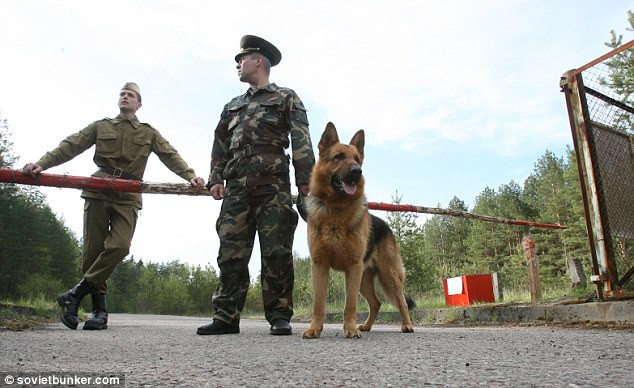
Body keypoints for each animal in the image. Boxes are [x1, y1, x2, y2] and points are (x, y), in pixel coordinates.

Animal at [302, 123, 414, 338]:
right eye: (338, 157)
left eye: (356, 159)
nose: (357, 171)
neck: (336, 210)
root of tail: (385, 225)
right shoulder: (320, 265)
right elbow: (318, 304)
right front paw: (314, 329)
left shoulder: (353, 267)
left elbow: (350, 305)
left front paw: (350, 328)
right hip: (364, 279)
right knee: (376, 303)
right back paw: (368, 325)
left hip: (388, 275)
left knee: (402, 302)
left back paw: (407, 325)